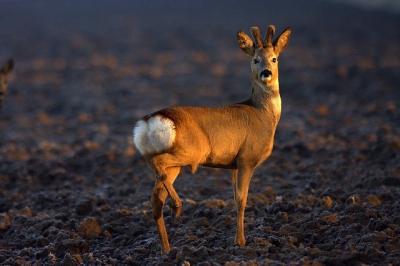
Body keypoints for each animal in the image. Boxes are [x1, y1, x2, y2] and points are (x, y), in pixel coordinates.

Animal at [133, 25, 292, 254]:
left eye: (274, 58)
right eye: (255, 59)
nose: (266, 73)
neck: (263, 114)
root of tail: (149, 122)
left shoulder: (233, 164)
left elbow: (235, 198)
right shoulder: (247, 158)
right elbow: (242, 199)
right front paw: (240, 241)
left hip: (171, 160)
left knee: (156, 198)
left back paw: (167, 249)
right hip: (193, 150)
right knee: (159, 164)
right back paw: (178, 207)